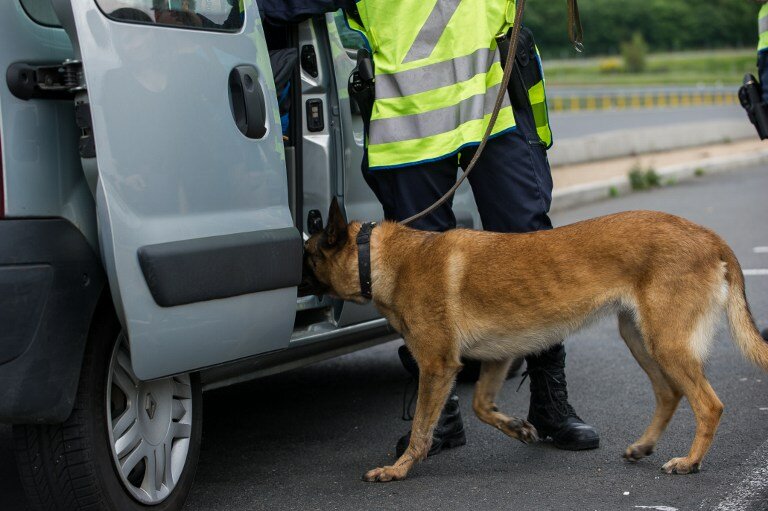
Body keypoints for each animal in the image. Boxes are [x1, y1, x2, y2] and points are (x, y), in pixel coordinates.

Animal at [300, 200, 768, 484]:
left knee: (709, 404)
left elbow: (420, 428)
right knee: (669, 393)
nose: (294, 281)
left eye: (307, 256)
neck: (382, 258)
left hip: (666, 344)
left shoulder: (436, 366)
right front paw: (519, 428)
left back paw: (690, 462)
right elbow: (480, 405)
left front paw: (398, 470)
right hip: (640, 338)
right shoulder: (498, 358)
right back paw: (644, 446)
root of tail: (710, 236)